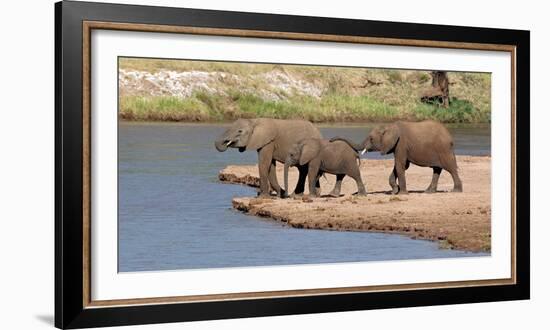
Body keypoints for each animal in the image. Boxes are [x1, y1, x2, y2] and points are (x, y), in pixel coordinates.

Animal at [332, 120, 466, 195]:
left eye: (371, 138)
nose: (331, 140)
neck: (389, 126)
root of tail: (449, 136)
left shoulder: (401, 143)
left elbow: (400, 164)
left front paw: (401, 193)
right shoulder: (398, 145)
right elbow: (401, 165)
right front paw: (394, 191)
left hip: (444, 149)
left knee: (451, 168)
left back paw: (456, 191)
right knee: (437, 169)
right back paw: (428, 192)